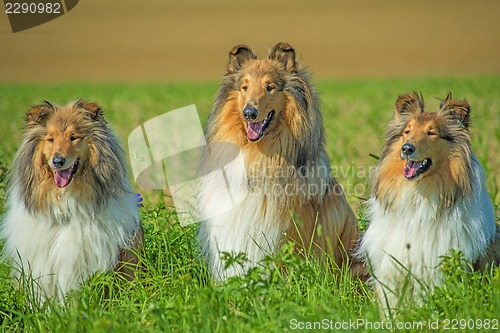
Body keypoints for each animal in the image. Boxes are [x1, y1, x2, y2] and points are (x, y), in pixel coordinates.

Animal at [362, 91, 498, 312]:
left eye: (431, 133)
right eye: (407, 131)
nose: (407, 148)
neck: (418, 192)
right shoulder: (391, 269)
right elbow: (390, 303)